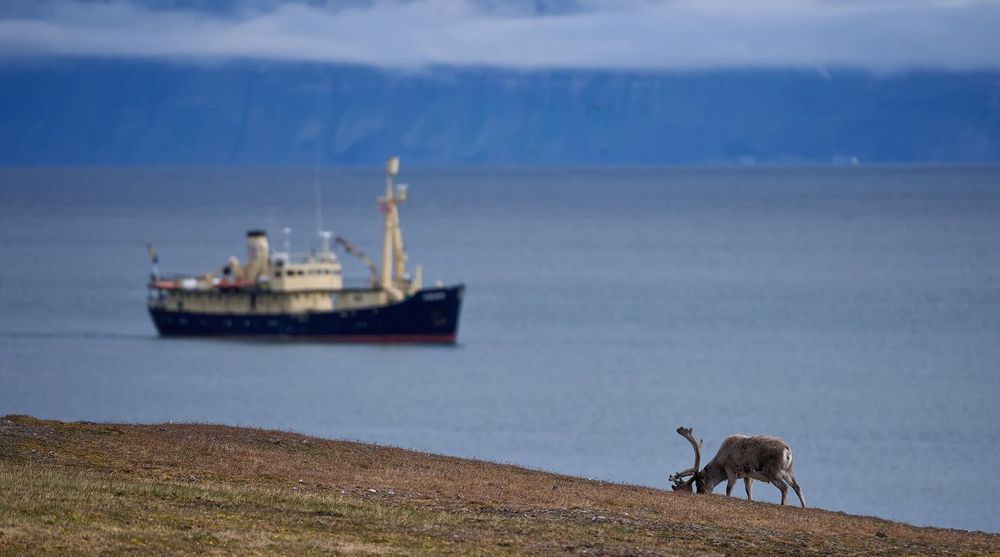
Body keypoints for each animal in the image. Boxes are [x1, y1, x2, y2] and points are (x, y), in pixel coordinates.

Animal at [668, 426, 805, 507]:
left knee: (785, 487)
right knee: (797, 487)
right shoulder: (747, 475)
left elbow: (728, 490)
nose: (702, 494)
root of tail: (787, 450)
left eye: (699, 483)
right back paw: (804, 506)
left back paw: (783, 504)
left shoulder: (731, 471)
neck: (720, 465)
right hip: (788, 471)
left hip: (774, 472)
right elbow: (748, 491)